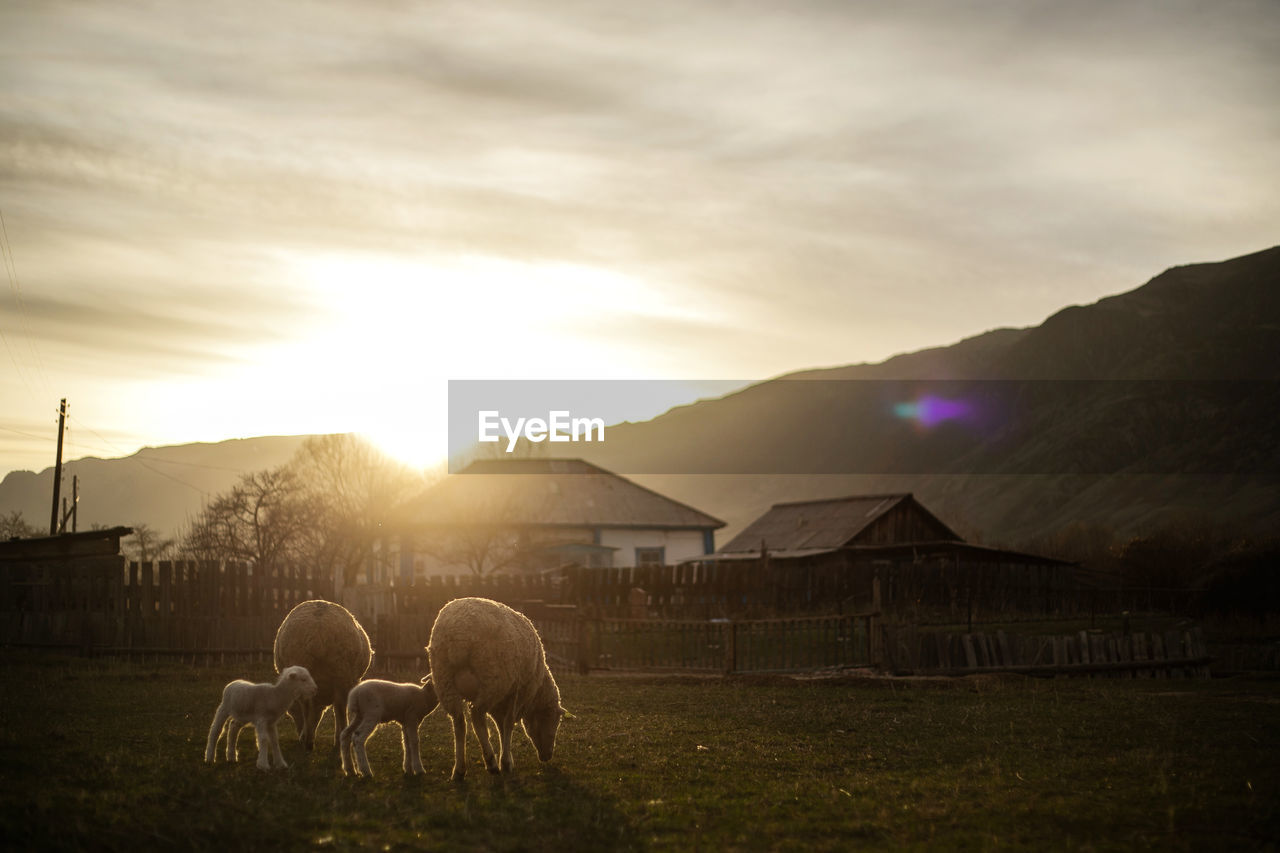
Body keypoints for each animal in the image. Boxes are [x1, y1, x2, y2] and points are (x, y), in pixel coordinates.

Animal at [270, 594, 371, 747]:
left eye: (291, 711)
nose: (298, 735)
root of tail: (317, 634)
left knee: (311, 706)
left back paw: (309, 741)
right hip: (342, 674)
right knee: (339, 707)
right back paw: (334, 740)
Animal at [424, 594, 570, 778]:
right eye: (553, 721)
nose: (547, 756)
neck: (536, 694)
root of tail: (458, 631)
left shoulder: (502, 702)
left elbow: (501, 726)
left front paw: (506, 758)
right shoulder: (518, 692)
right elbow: (507, 724)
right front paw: (506, 762)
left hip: (444, 681)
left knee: (458, 721)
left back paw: (459, 770)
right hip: (492, 680)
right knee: (477, 715)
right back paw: (491, 763)